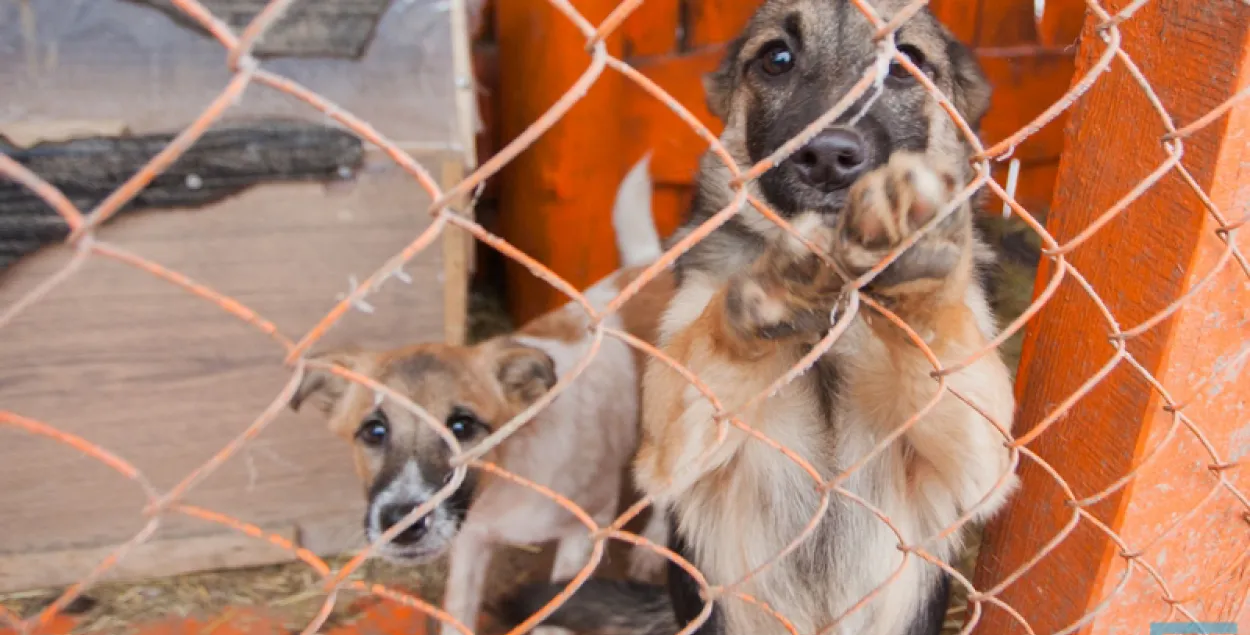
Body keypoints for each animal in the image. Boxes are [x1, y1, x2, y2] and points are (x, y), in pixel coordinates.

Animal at [502, 1, 1020, 635]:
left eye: (906, 65)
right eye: (777, 58)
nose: (827, 157)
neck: (836, 315)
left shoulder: (980, 464)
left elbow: (938, 337)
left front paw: (913, 258)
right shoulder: (670, 450)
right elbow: (713, 343)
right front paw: (774, 284)